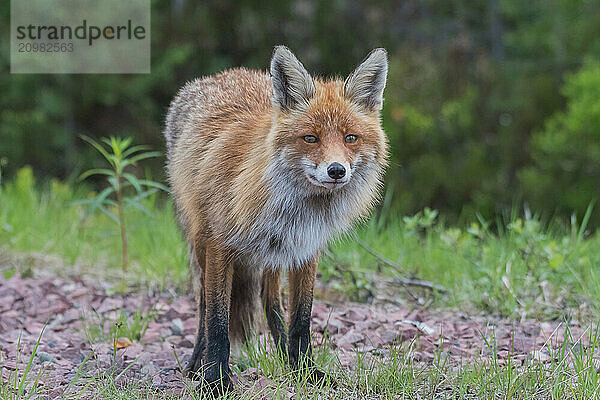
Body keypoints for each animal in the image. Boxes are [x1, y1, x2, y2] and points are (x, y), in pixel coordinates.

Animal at [164, 45, 390, 392]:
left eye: (350, 138)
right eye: (311, 138)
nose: (336, 170)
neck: (296, 211)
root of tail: (225, 73)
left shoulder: (306, 250)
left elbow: (300, 319)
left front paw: (306, 372)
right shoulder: (219, 245)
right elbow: (217, 321)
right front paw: (216, 380)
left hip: (272, 256)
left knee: (271, 301)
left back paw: (286, 358)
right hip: (201, 244)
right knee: (203, 306)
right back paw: (195, 364)